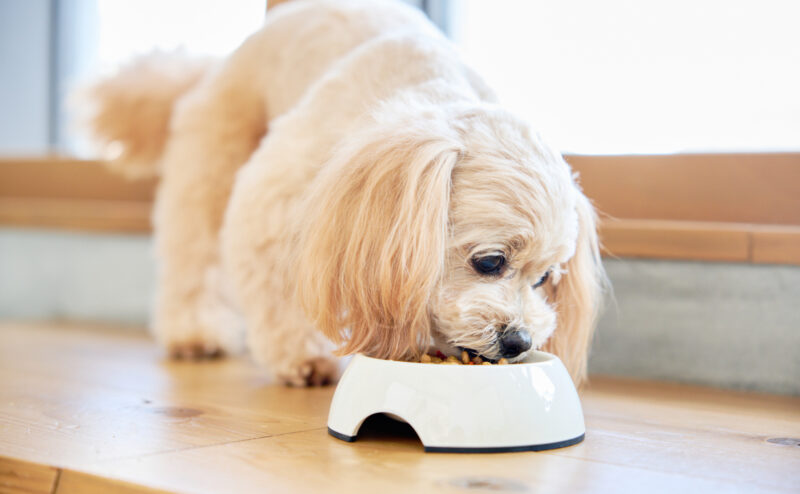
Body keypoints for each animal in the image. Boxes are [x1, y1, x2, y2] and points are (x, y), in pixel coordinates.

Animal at [83, 0, 608, 386]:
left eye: (545, 279)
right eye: (491, 262)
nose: (519, 341)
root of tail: (215, 65)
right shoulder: (271, 199)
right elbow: (278, 291)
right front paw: (304, 357)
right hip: (212, 160)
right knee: (192, 257)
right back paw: (194, 333)